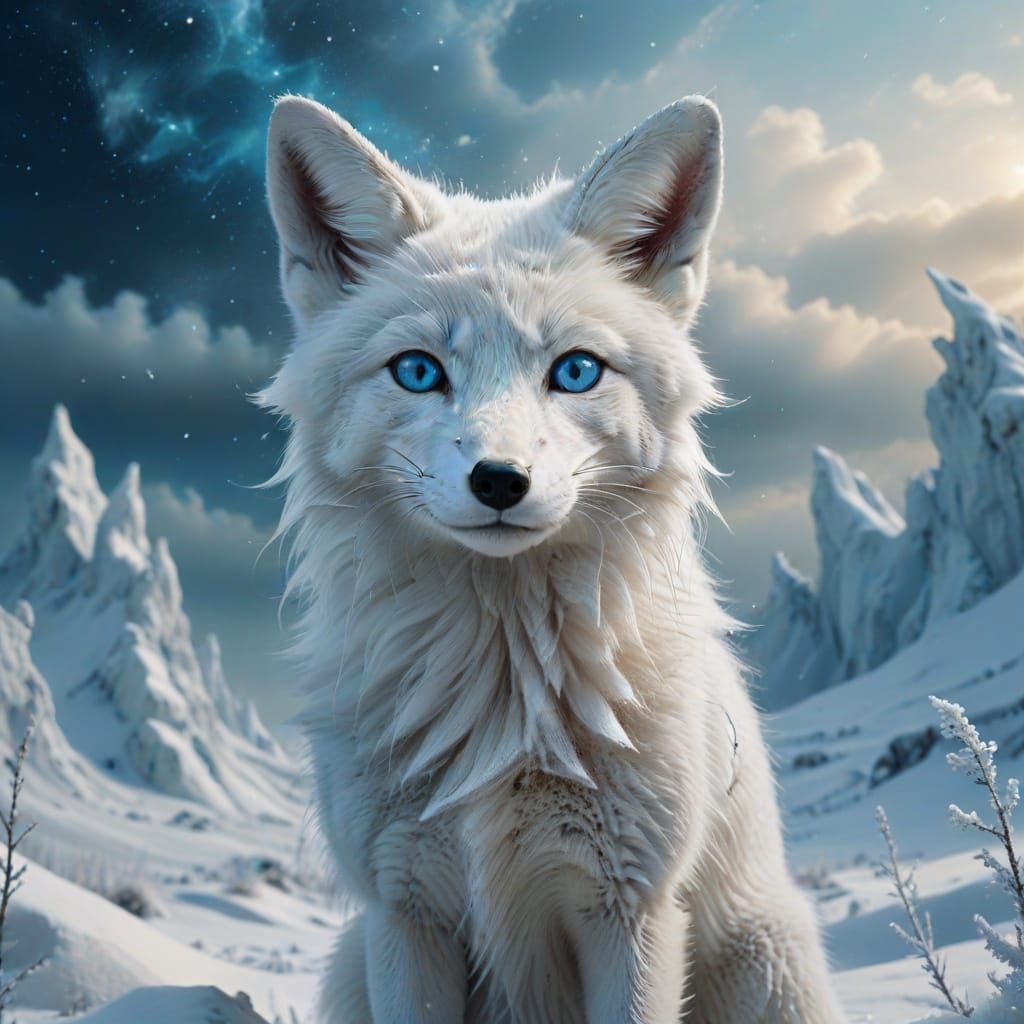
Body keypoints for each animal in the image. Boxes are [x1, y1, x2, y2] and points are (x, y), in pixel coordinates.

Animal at [259, 92, 845, 1023]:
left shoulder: (630, 908)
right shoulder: (403, 907)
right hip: (351, 962)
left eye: (575, 372)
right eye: (418, 372)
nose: (500, 480)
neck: (503, 702)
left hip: (766, 964)